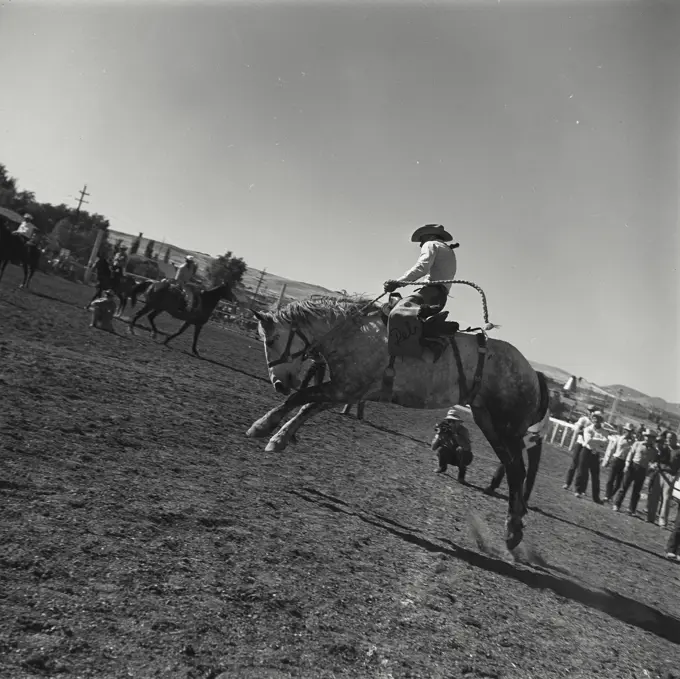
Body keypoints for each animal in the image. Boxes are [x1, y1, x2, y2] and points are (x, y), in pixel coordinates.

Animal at [247, 282, 548, 552]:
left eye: (271, 339)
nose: (279, 383)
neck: (354, 333)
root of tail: (533, 372)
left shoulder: (345, 388)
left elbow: (299, 398)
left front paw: (262, 427)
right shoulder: (346, 391)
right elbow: (307, 406)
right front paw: (280, 437)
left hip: (507, 426)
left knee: (518, 471)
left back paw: (512, 531)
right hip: (488, 421)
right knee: (512, 468)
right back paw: (513, 528)